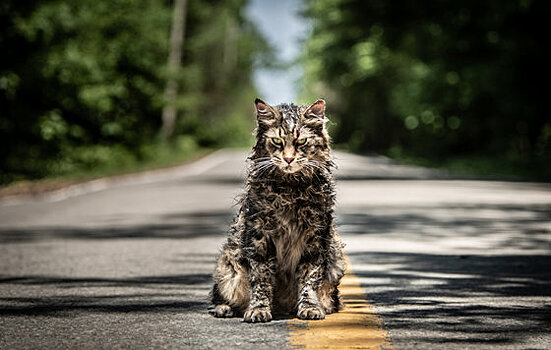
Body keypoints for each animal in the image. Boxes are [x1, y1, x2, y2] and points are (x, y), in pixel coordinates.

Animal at [210, 98, 344, 322]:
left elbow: (309, 278)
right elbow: (261, 280)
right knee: (221, 296)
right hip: (228, 266)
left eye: (301, 142)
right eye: (277, 141)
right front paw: (259, 309)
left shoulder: (315, 238)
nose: (288, 159)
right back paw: (224, 308)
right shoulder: (259, 237)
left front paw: (310, 307)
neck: (290, 190)